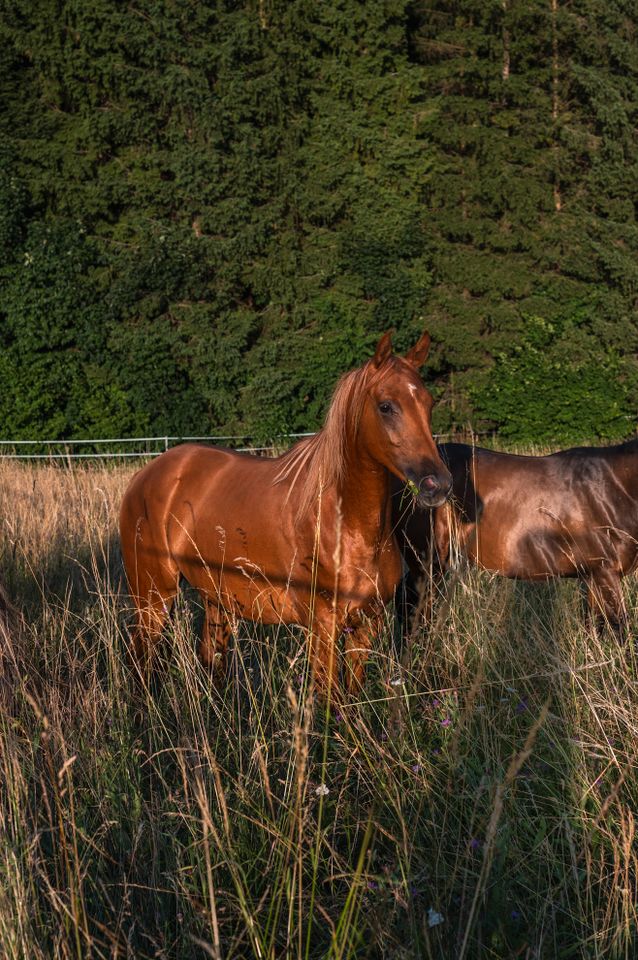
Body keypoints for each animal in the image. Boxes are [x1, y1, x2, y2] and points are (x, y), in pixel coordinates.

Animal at [119, 334, 450, 692]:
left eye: (429, 403)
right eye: (386, 406)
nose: (438, 484)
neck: (347, 527)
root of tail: (146, 475)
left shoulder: (365, 625)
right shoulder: (323, 628)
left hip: (215, 599)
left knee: (211, 658)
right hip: (153, 596)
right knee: (140, 657)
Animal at [398, 440, 638, 636]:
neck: (613, 489)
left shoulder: (592, 576)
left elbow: (595, 627)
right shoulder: (605, 573)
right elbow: (618, 630)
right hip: (427, 560)